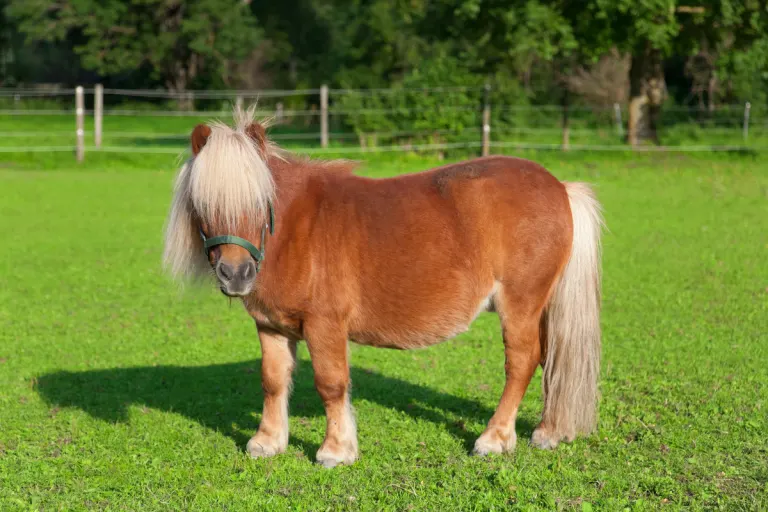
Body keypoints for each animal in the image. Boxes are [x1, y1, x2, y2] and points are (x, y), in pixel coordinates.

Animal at [162, 107, 604, 468]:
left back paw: (494, 439)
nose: (236, 274)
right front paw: (267, 442)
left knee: (523, 361)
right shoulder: (270, 325)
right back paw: (547, 432)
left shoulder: (324, 325)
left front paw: (336, 450)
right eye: (202, 204)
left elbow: (331, 383)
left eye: (259, 201)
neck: (292, 229)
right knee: (550, 358)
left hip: (520, 304)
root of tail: (559, 187)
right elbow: (273, 380)